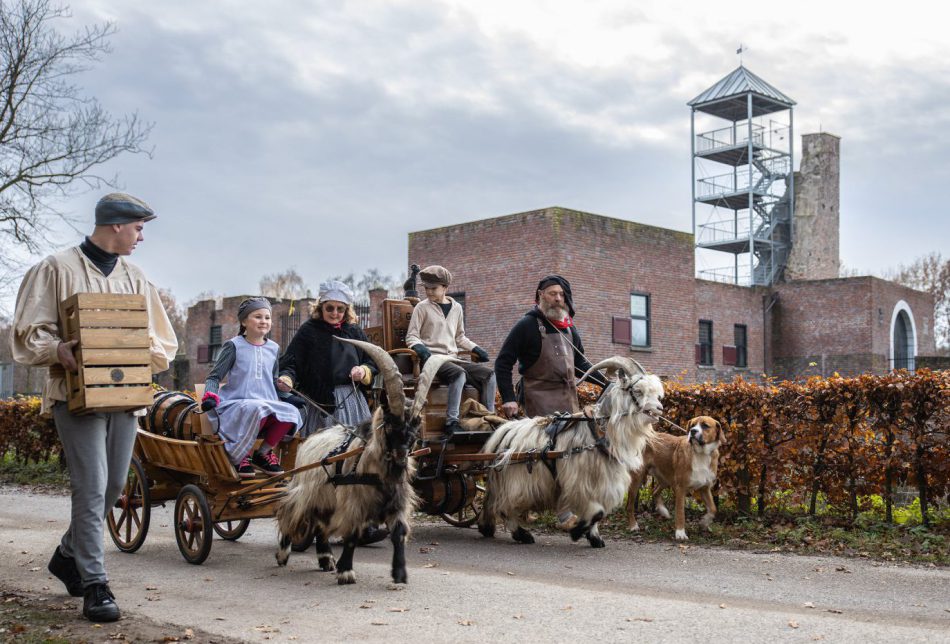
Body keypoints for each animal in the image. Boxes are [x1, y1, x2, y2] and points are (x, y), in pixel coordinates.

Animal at [276, 340, 458, 588]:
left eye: (416, 423)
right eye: (390, 423)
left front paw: (399, 573)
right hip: (305, 490)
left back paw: (325, 559)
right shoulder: (354, 501)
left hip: (325, 497)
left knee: (320, 525)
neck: (377, 470)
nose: (401, 455)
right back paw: (283, 554)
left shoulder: (397, 501)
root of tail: (308, 440)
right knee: (291, 511)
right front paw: (346, 572)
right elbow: (353, 534)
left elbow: (399, 533)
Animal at [476, 358, 660, 548]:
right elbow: (596, 511)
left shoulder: (603, 482)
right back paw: (523, 534)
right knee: (503, 508)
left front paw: (594, 538)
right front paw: (577, 531)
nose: (659, 408)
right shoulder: (579, 482)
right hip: (515, 482)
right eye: (638, 391)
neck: (598, 433)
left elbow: (599, 512)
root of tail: (502, 431)